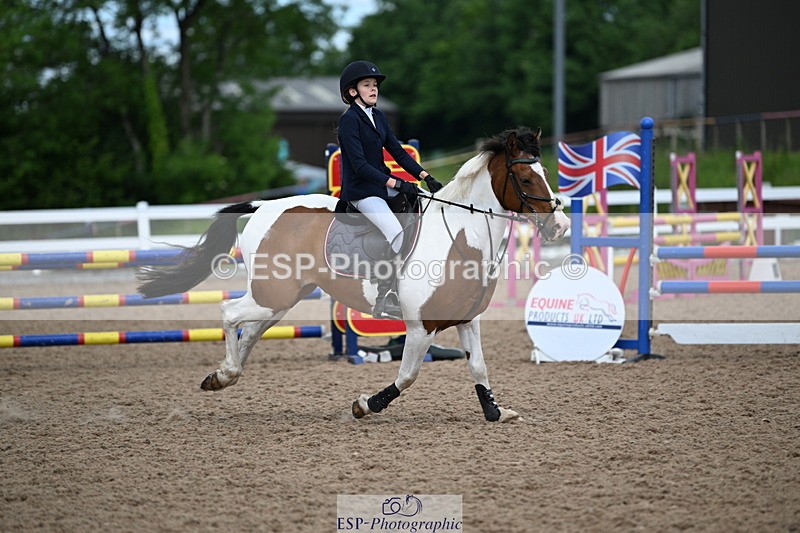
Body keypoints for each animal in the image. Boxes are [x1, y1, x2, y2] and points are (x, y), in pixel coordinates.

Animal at [138, 126, 570, 422]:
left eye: (546, 173)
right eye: (526, 179)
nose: (560, 225)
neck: (460, 235)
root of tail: (264, 205)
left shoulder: (466, 320)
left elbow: (478, 366)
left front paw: (496, 412)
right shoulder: (421, 326)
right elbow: (408, 375)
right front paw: (366, 405)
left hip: (280, 299)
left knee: (252, 330)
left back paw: (224, 377)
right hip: (271, 295)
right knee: (230, 314)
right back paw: (225, 373)